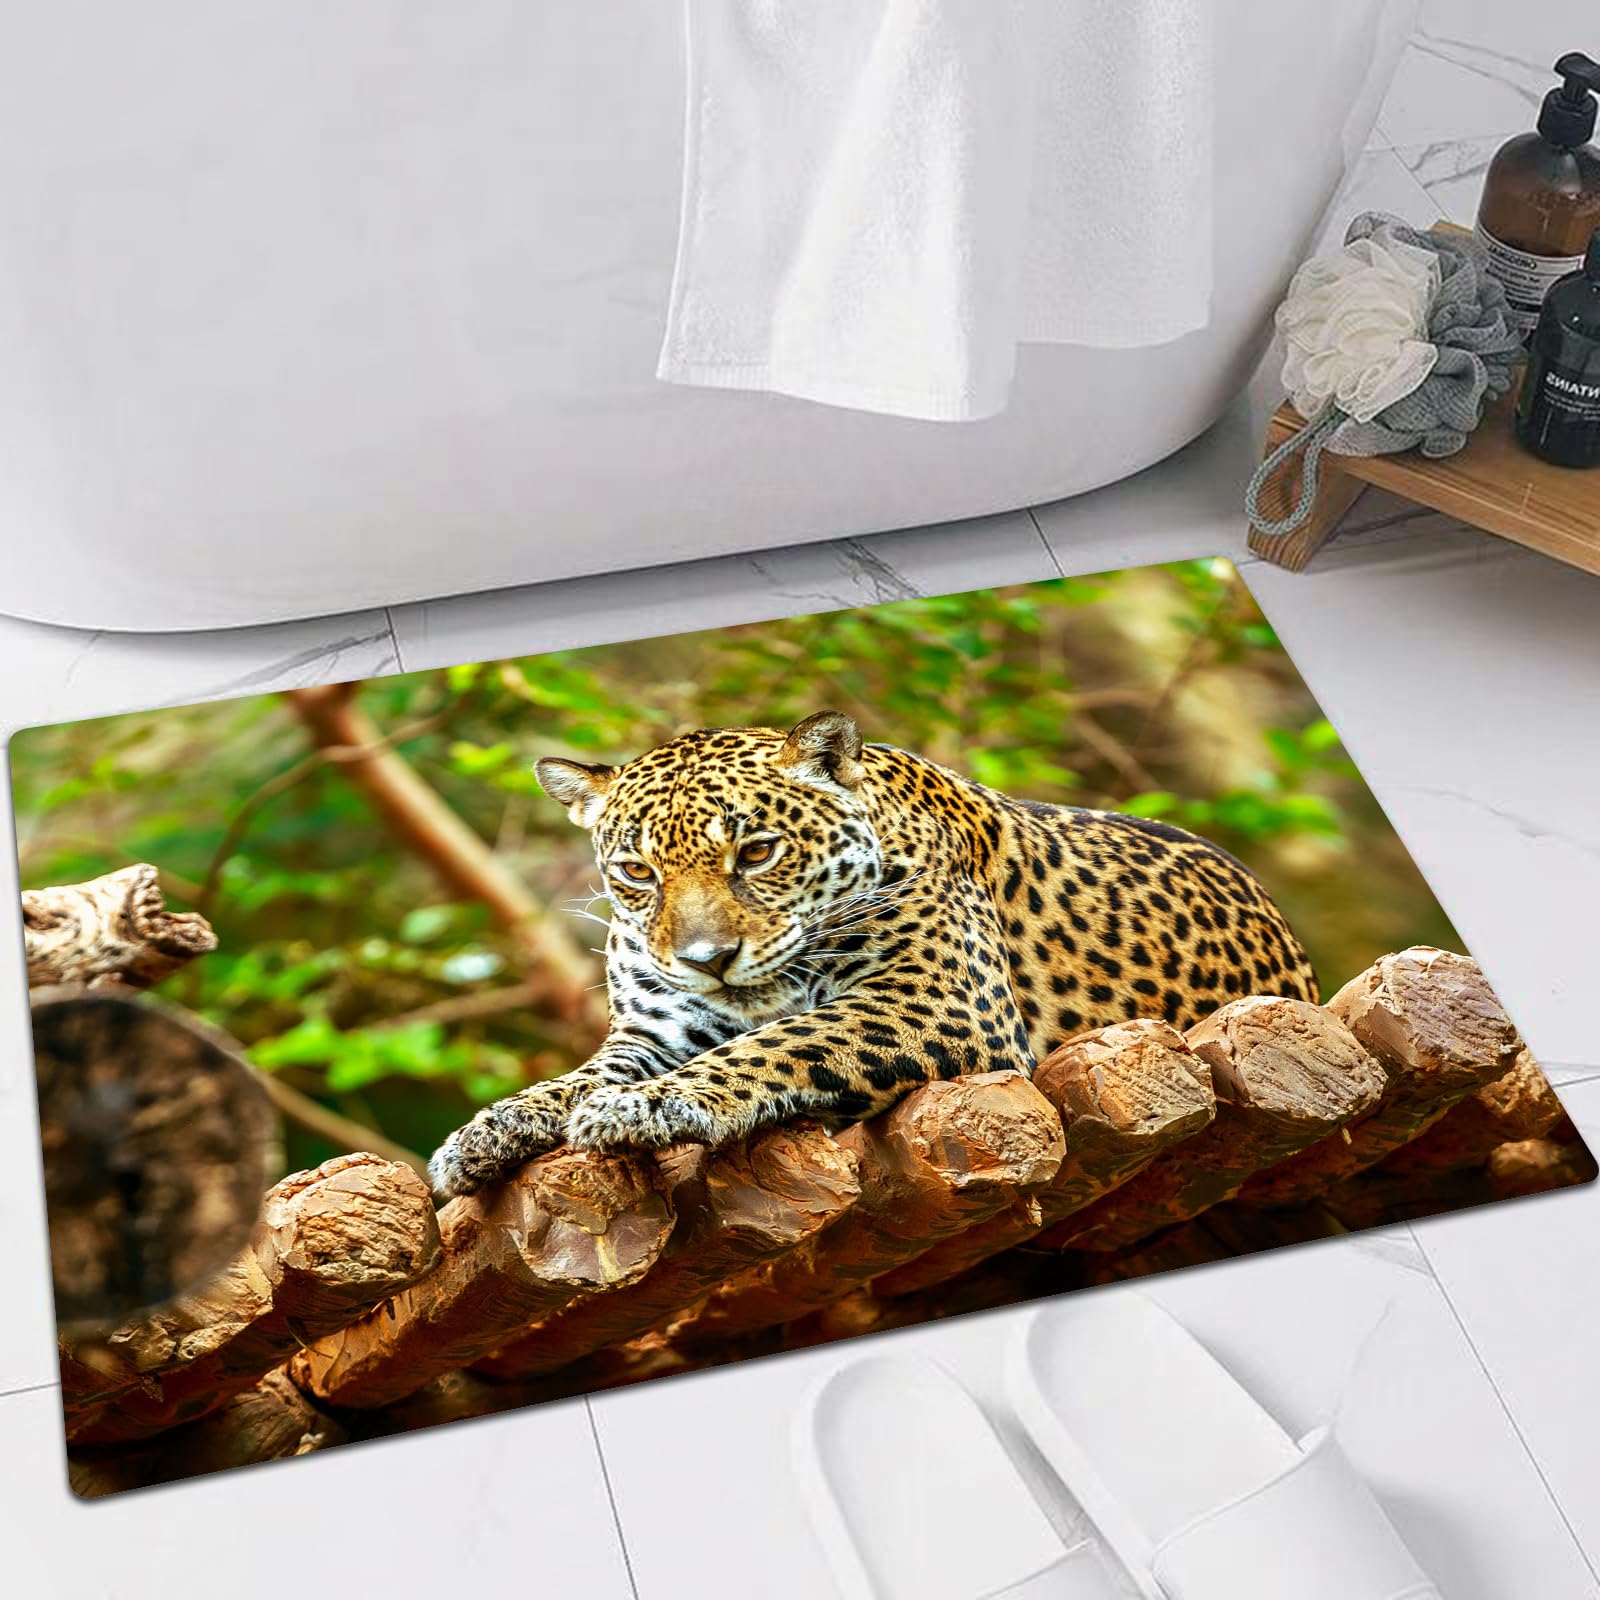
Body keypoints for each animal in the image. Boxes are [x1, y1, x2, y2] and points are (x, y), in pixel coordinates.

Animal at [428, 710, 1317, 1197]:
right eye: (638, 873)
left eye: (757, 852)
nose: (708, 958)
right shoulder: (653, 1032)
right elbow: (576, 1078)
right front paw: (483, 1133)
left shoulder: (938, 1001)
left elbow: (779, 1041)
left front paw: (645, 1106)